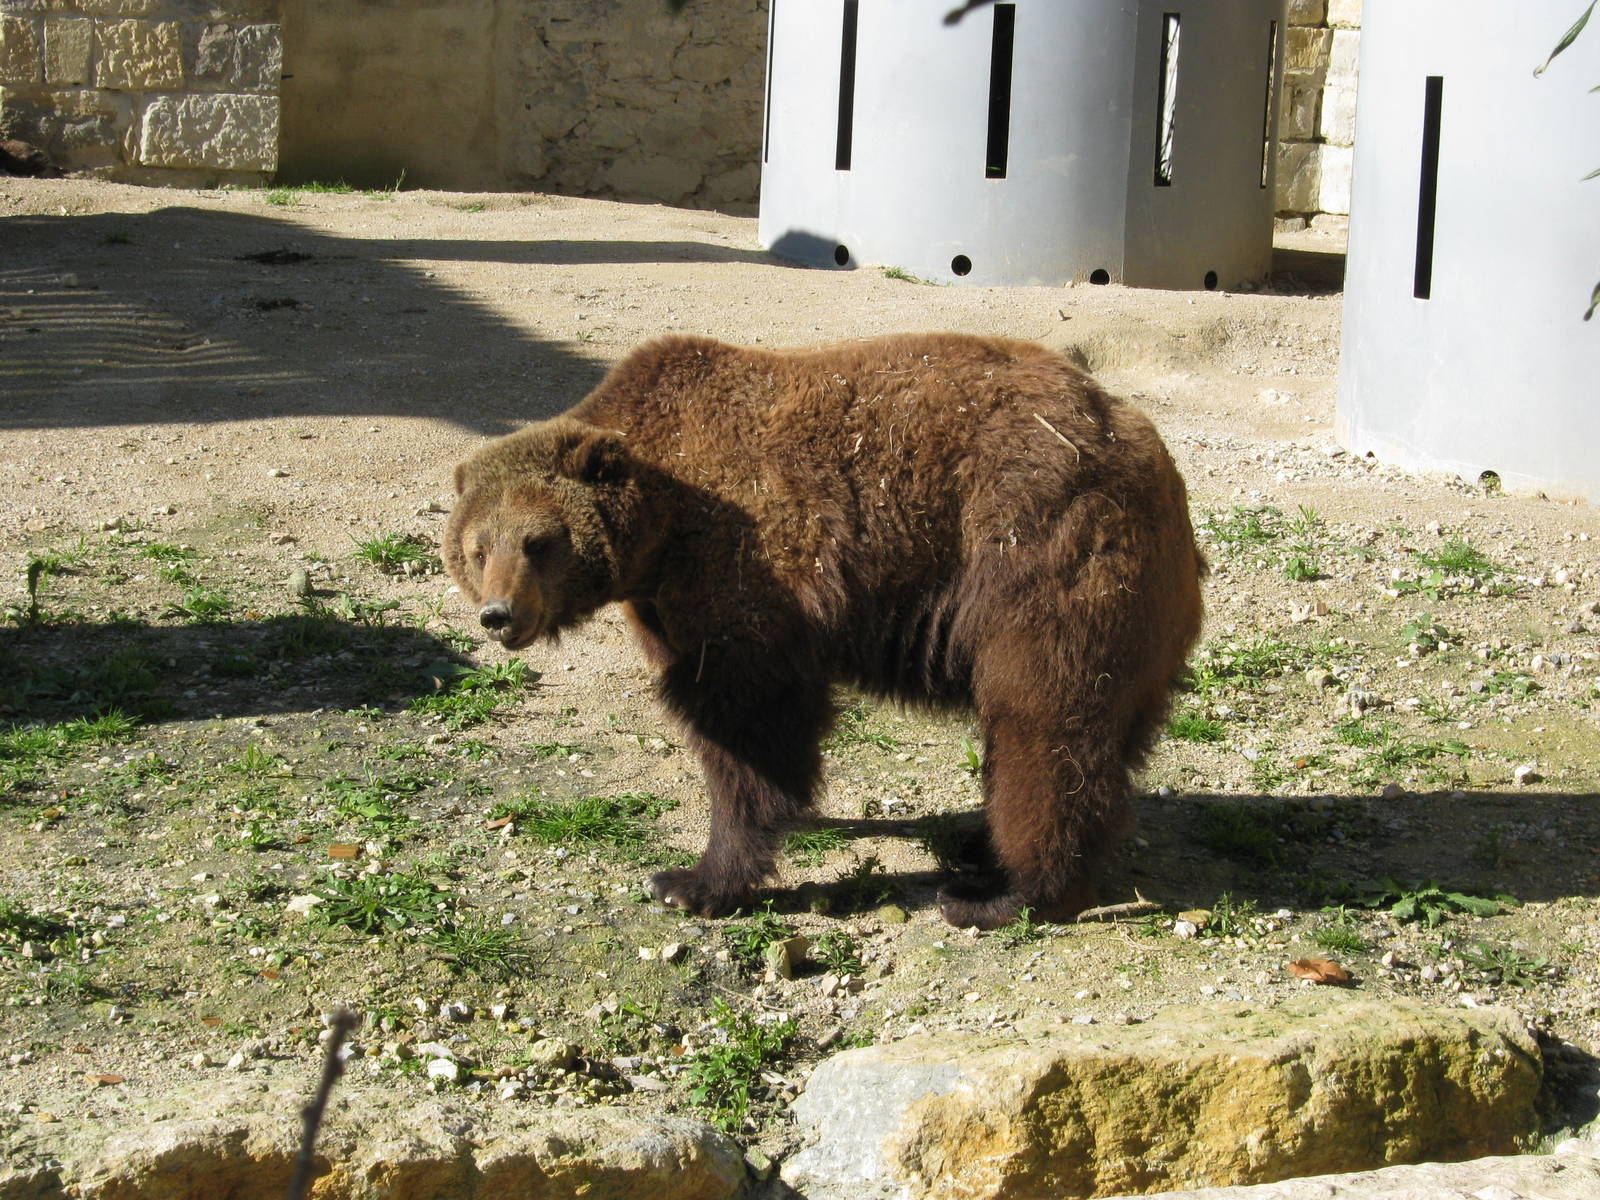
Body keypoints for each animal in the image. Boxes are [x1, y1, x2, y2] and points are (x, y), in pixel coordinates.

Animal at [445, 332, 1204, 929]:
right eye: (478, 549)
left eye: (539, 542)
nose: (499, 614)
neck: (658, 532)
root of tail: (1143, 442)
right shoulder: (666, 601)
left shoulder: (742, 567)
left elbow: (751, 726)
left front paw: (692, 880)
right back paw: (986, 851)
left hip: (1040, 548)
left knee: (1042, 723)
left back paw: (1004, 893)